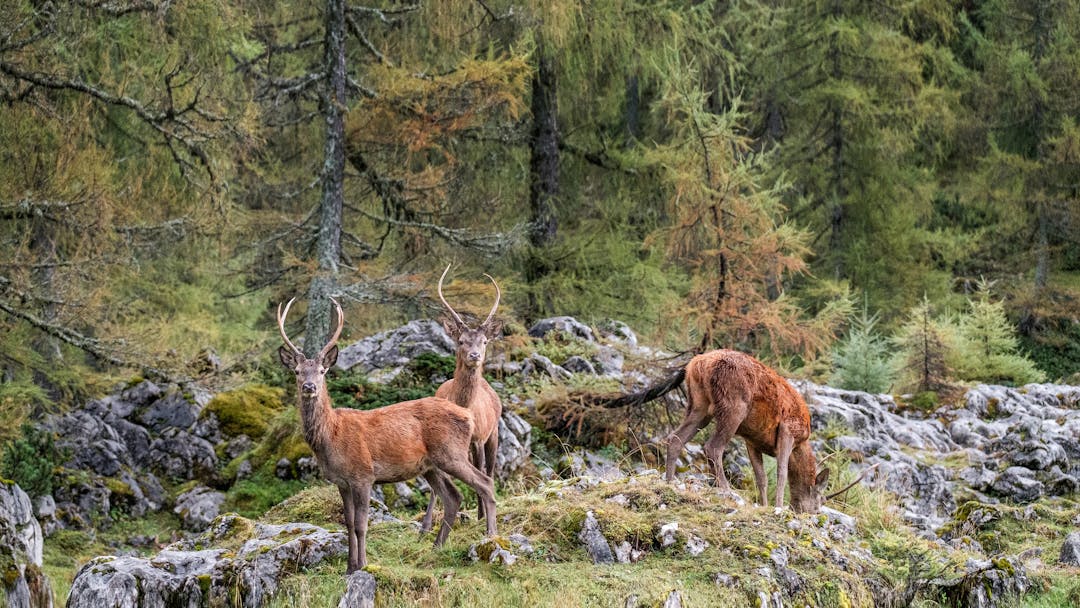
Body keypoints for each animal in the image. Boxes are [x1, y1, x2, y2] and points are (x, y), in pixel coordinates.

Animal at [278, 298, 496, 574]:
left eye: (322, 371)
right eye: (297, 371)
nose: (309, 387)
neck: (331, 437)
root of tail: (467, 413)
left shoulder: (363, 474)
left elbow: (361, 524)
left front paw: (362, 565)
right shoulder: (341, 481)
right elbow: (348, 523)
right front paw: (349, 568)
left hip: (452, 453)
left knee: (485, 482)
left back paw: (491, 536)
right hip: (430, 465)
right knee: (453, 496)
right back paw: (437, 546)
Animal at [421, 262, 505, 533]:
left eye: (485, 340)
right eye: (461, 340)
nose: (474, 355)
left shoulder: (478, 438)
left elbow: (481, 473)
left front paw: (481, 518)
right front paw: (426, 525)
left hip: (493, 433)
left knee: (489, 469)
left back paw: (481, 514)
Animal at [660, 349, 829, 511]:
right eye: (820, 500)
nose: (814, 512)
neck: (801, 443)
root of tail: (697, 364)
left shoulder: (753, 440)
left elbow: (761, 478)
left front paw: (764, 505)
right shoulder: (788, 430)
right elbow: (781, 473)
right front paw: (779, 506)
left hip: (698, 404)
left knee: (675, 437)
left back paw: (669, 481)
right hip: (734, 405)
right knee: (712, 447)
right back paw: (727, 490)